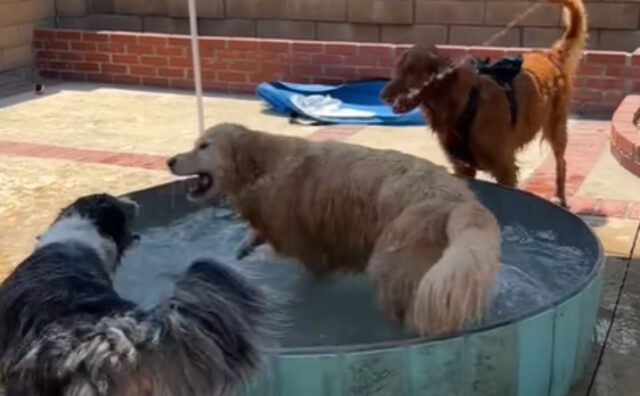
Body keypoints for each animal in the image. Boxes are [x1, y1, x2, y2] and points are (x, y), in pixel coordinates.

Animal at [164, 123, 500, 334]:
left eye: (204, 146)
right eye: (195, 144)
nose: (169, 160)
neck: (262, 166)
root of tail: (460, 201)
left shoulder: (309, 248)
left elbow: (310, 274)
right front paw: (246, 245)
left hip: (392, 263)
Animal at [382, 0, 588, 207]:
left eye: (412, 70)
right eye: (398, 68)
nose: (383, 95)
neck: (463, 105)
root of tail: (549, 55)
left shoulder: (504, 167)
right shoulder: (463, 168)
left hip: (556, 128)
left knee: (561, 163)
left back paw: (560, 196)